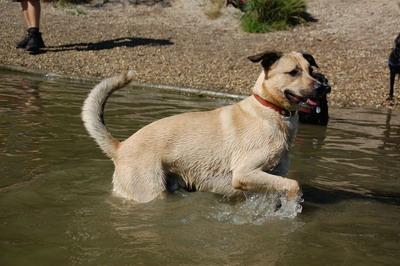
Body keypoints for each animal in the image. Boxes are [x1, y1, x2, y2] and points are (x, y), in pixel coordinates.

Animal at [83, 51, 324, 203]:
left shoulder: (267, 177)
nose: (323, 87)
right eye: (293, 72)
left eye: (312, 71)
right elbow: (295, 184)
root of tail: (120, 147)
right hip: (148, 191)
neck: (270, 110)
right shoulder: (245, 173)